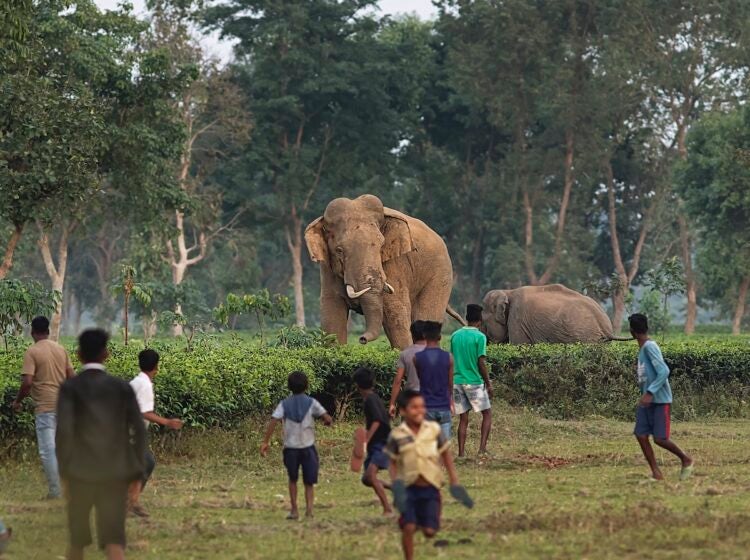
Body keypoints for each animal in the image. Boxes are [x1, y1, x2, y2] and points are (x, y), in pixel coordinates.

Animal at [305, 194, 461, 349]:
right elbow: (332, 318)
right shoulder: (327, 270)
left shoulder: (394, 264)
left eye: (381, 245)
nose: (362, 339)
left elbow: (395, 313)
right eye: (339, 250)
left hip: (440, 274)